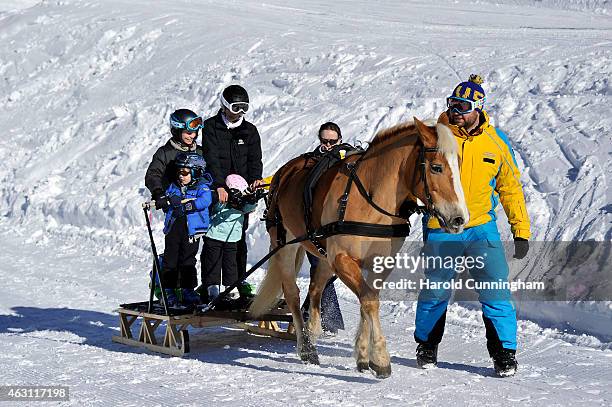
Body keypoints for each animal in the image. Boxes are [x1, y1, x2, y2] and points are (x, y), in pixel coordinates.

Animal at [249, 118, 468, 380]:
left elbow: (368, 298)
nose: (459, 219)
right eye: (436, 167)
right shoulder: (342, 258)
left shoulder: (380, 262)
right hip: (284, 244)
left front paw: (364, 356)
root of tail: (285, 171)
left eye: (458, 166)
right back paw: (306, 347)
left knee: (315, 290)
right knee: (292, 293)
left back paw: (313, 333)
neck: (371, 199)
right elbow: (370, 301)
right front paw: (381, 358)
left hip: (324, 256)